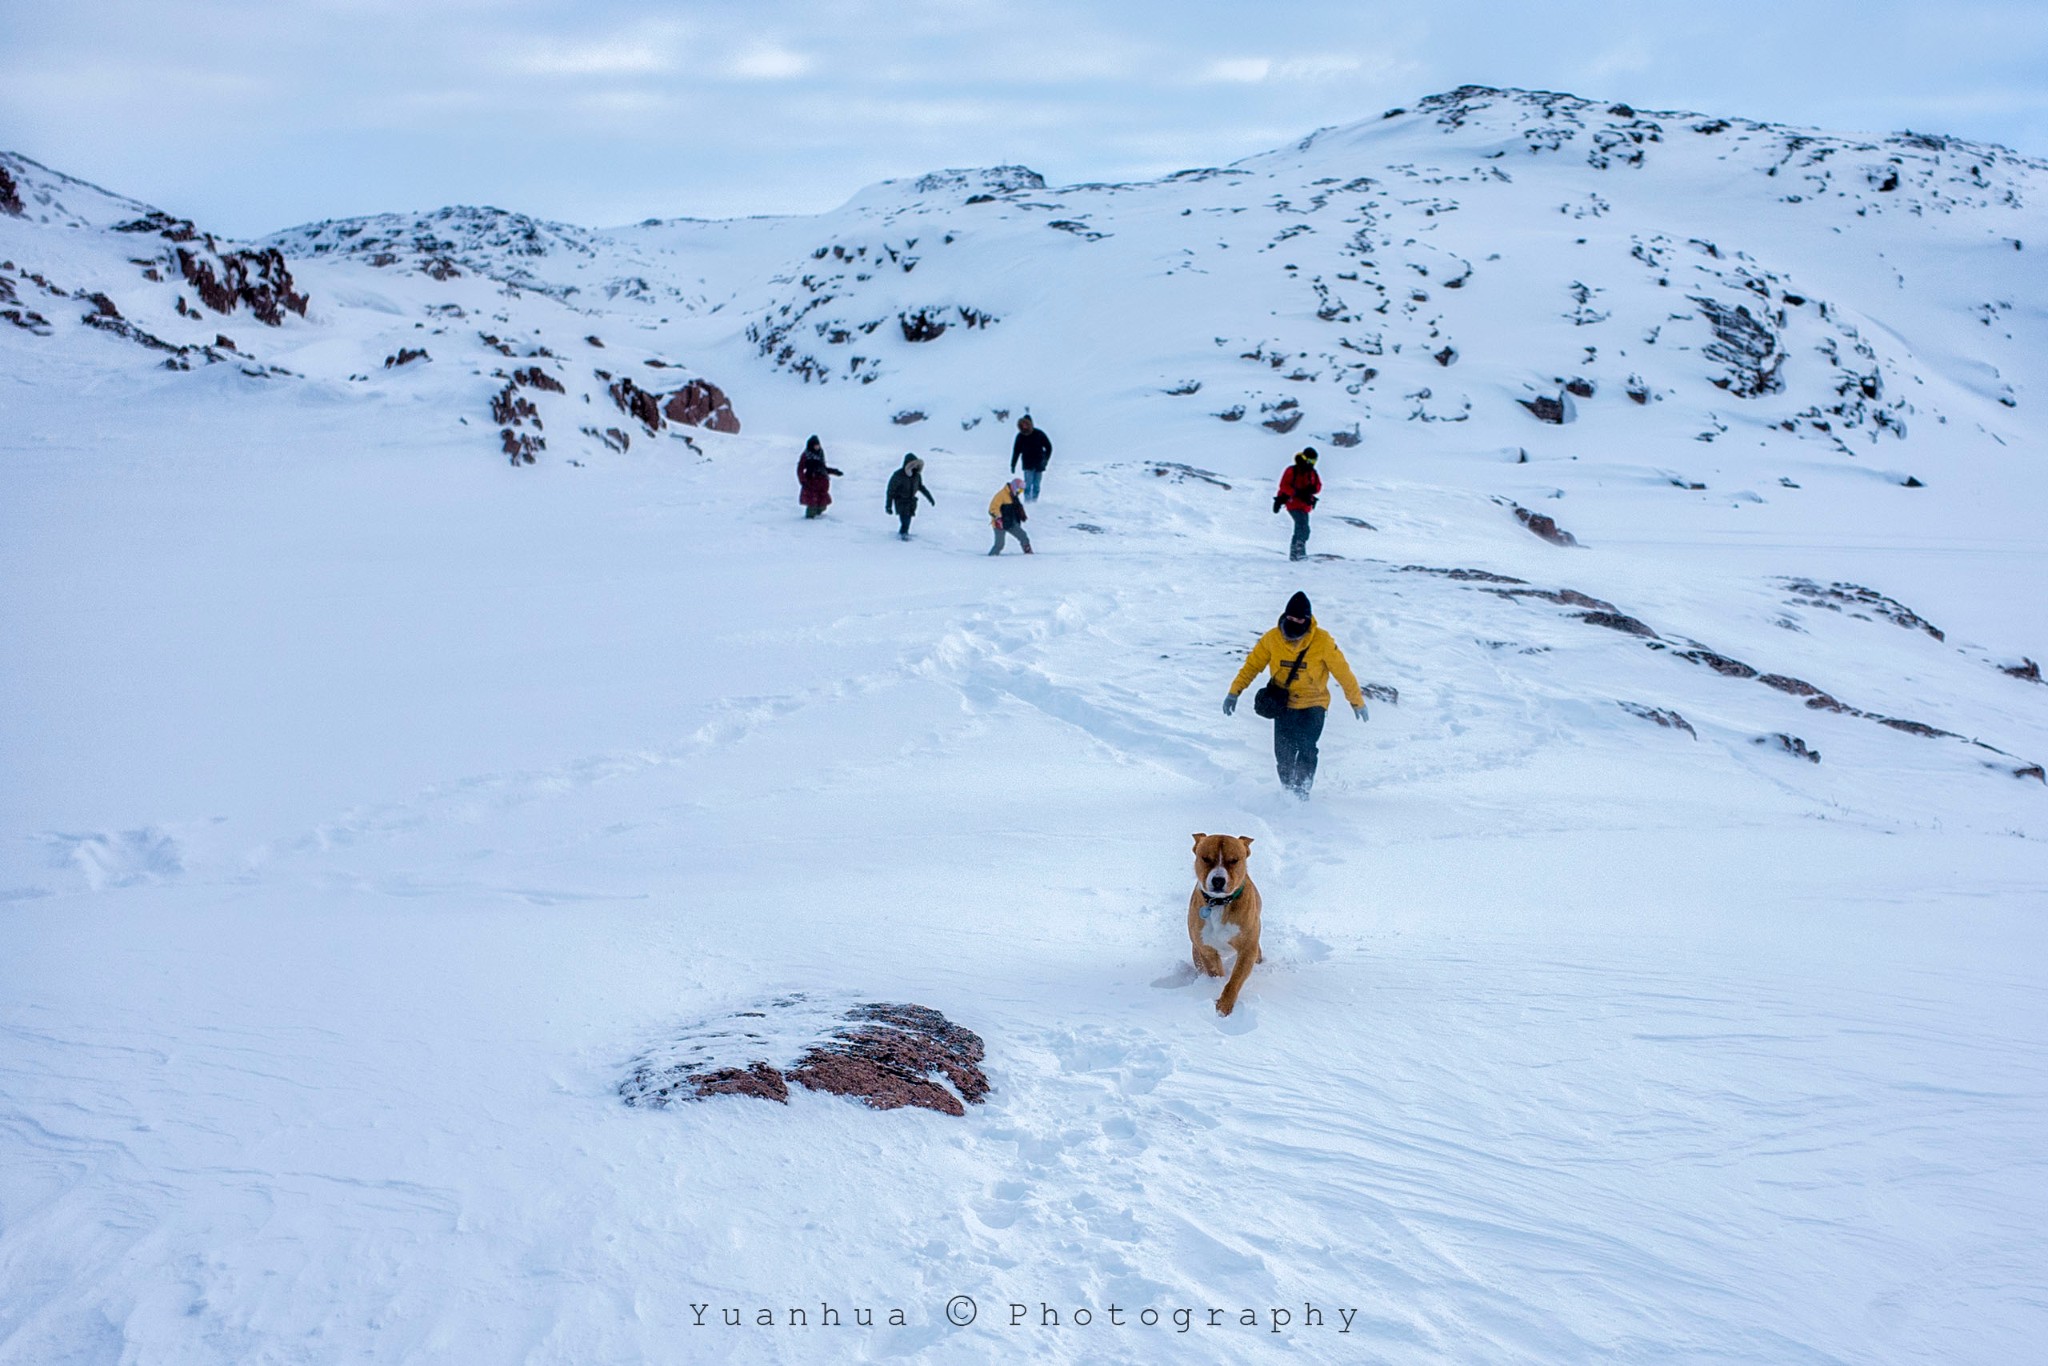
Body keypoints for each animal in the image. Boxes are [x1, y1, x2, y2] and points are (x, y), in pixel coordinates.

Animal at [1187, 835, 1261, 1015]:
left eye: (1234, 860)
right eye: (1206, 858)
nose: (1218, 880)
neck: (1219, 904)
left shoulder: (1247, 949)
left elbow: (1235, 980)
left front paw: (1224, 1005)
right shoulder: (1206, 949)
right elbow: (1215, 972)